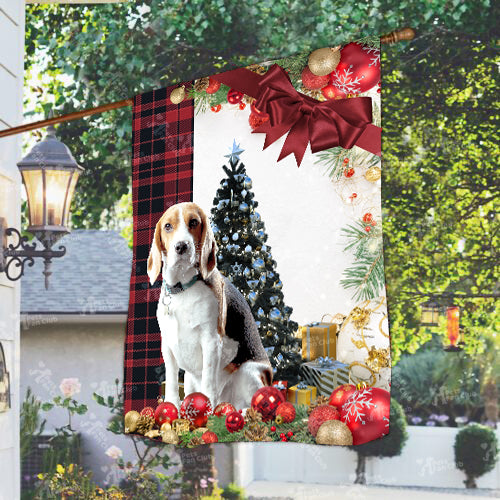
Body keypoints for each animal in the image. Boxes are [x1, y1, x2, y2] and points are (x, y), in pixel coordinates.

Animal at [147, 201, 272, 412]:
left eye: (194, 222)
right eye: (168, 226)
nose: (181, 246)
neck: (183, 289)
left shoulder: (211, 341)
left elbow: (208, 380)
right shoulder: (167, 345)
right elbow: (171, 381)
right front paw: (171, 405)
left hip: (248, 372)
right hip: (190, 378)